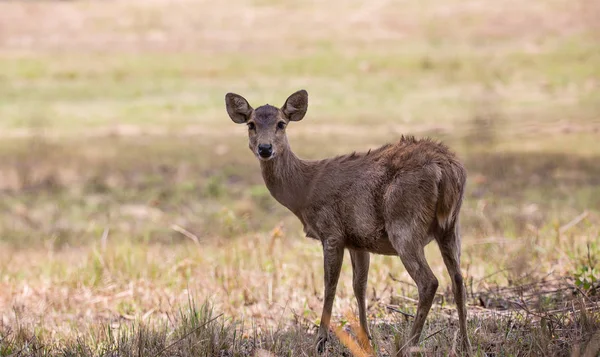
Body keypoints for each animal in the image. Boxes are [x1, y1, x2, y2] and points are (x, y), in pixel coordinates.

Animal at [223, 89, 472, 354]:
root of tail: (447, 169)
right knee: (458, 279)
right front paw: (366, 339)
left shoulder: (332, 232)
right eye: (251, 124)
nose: (265, 148)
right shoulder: (359, 240)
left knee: (429, 282)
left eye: (281, 123)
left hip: (404, 223)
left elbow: (330, 286)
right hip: (451, 226)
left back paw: (408, 346)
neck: (305, 191)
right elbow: (359, 286)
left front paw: (320, 341)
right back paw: (464, 344)